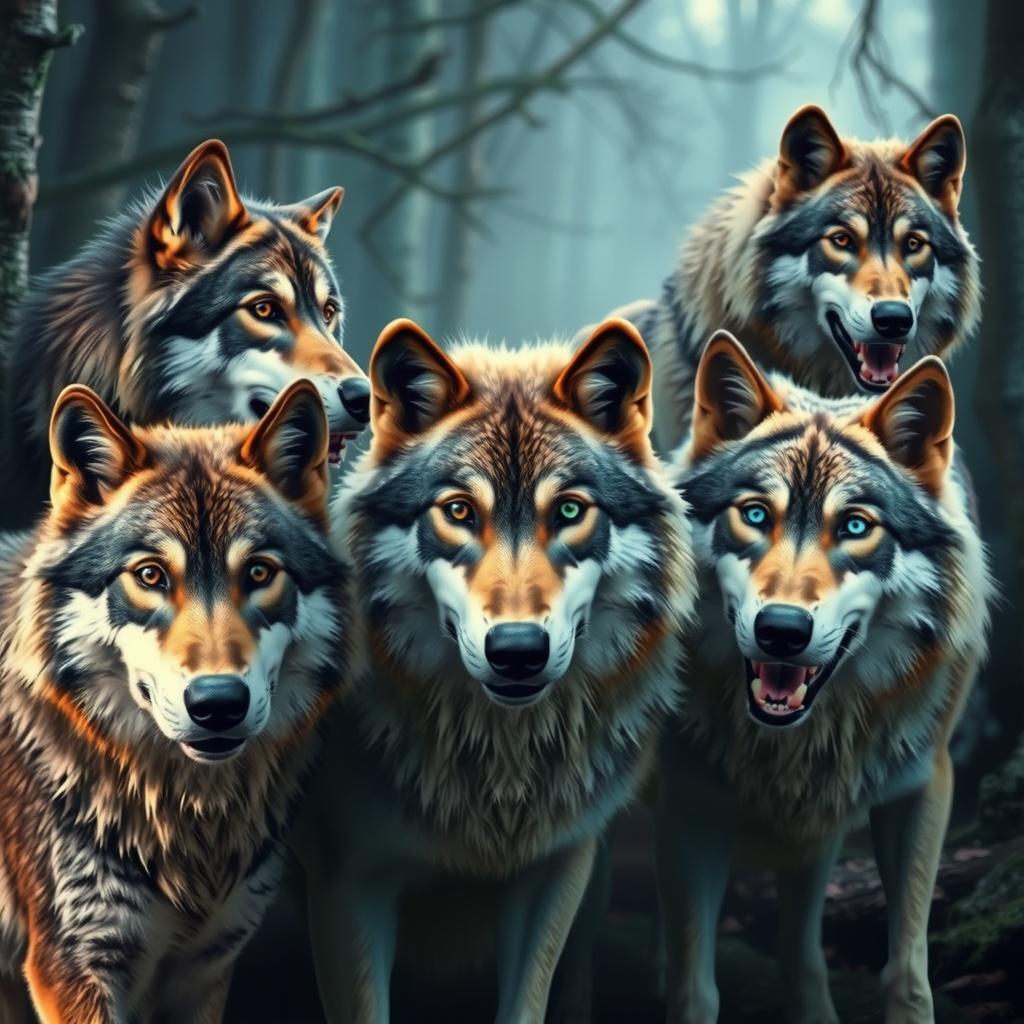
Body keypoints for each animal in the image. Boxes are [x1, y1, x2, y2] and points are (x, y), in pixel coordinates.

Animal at [655, 333, 991, 1023]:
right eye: (756, 515)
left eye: (856, 526)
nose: (782, 630)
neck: (792, 745)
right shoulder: (688, 803)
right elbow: (694, 987)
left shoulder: (923, 787)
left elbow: (905, 972)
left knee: (801, 949)